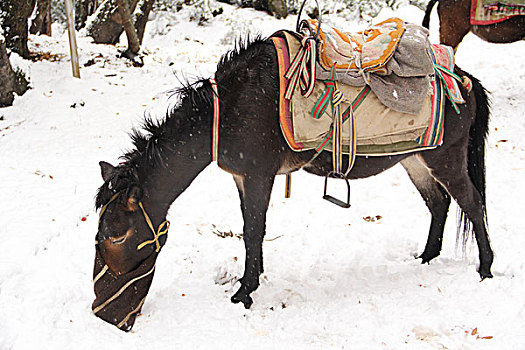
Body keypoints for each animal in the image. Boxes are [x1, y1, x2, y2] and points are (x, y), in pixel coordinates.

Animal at [93, 38, 492, 312]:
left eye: (116, 233)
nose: (106, 292)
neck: (227, 112)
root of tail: (466, 80)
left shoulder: (258, 174)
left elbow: (253, 230)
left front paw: (245, 292)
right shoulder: (243, 177)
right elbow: (250, 228)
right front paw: (251, 282)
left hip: (445, 159)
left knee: (472, 204)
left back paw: (485, 269)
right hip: (415, 161)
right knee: (439, 204)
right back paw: (427, 257)